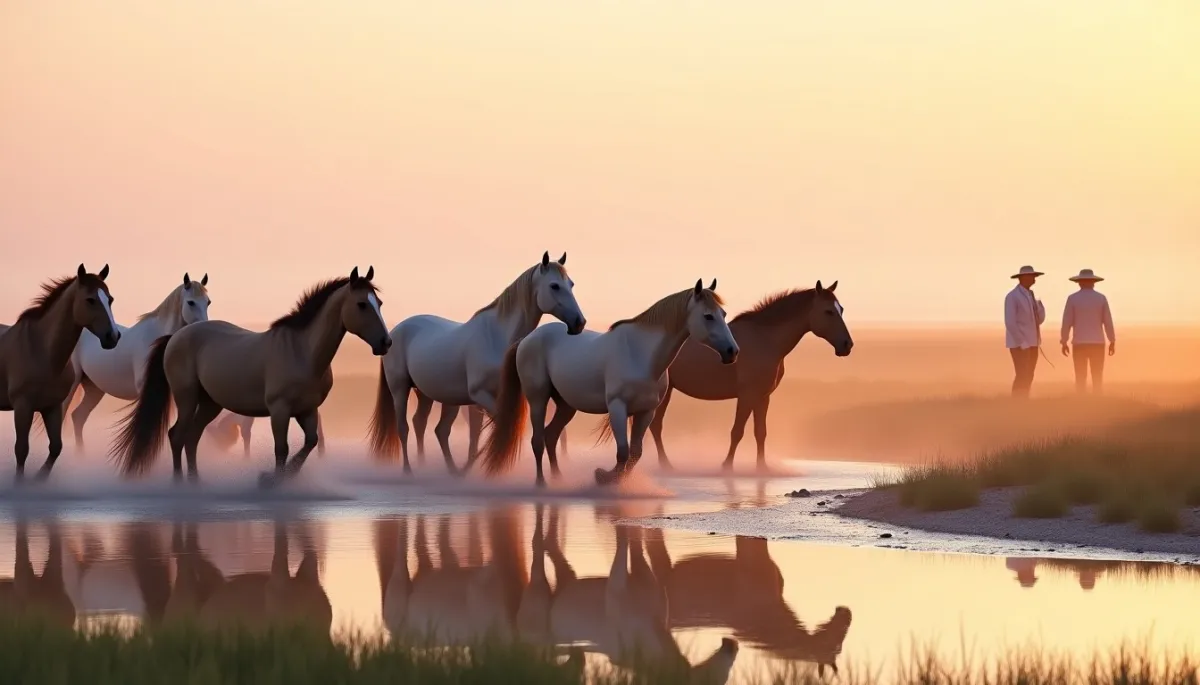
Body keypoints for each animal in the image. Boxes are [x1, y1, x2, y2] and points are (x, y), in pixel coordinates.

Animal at [0, 265, 120, 481]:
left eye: (110, 299)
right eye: (90, 300)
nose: (113, 337)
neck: (41, 350)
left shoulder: (52, 407)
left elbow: (56, 447)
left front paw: (39, 480)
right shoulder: (22, 407)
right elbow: (21, 450)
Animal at [110, 267, 391, 485]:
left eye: (379, 303)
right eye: (361, 304)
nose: (385, 342)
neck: (302, 351)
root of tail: (175, 337)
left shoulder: (308, 410)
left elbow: (310, 443)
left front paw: (277, 478)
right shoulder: (279, 410)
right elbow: (282, 449)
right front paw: (271, 481)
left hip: (210, 403)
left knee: (192, 436)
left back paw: (196, 481)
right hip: (186, 398)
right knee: (177, 435)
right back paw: (180, 485)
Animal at [368, 251, 585, 475]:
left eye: (571, 284)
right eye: (554, 286)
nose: (579, 323)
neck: (496, 336)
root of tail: (393, 333)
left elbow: (477, 437)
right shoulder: (479, 396)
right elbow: (494, 427)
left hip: (428, 394)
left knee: (427, 426)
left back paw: (440, 468)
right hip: (400, 389)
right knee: (404, 428)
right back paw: (410, 471)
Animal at [481, 279, 738, 487]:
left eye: (723, 314)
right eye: (708, 316)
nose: (732, 351)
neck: (641, 355)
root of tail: (527, 340)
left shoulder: (646, 412)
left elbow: (635, 453)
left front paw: (615, 479)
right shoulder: (617, 407)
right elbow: (623, 451)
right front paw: (606, 478)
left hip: (566, 405)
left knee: (550, 436)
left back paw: (558, 479)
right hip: (538, 399)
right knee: (537, 440)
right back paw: (541, 484)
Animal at [648, 281, 853, 470]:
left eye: (841, 309)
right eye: (828, 311)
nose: (847, 345)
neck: (765, 340)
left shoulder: (763, 397)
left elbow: (760, 432)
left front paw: (762, 467)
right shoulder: (747, 396)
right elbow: (737, 431)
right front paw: (727, 466)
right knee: (656, 425)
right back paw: (665, 465)